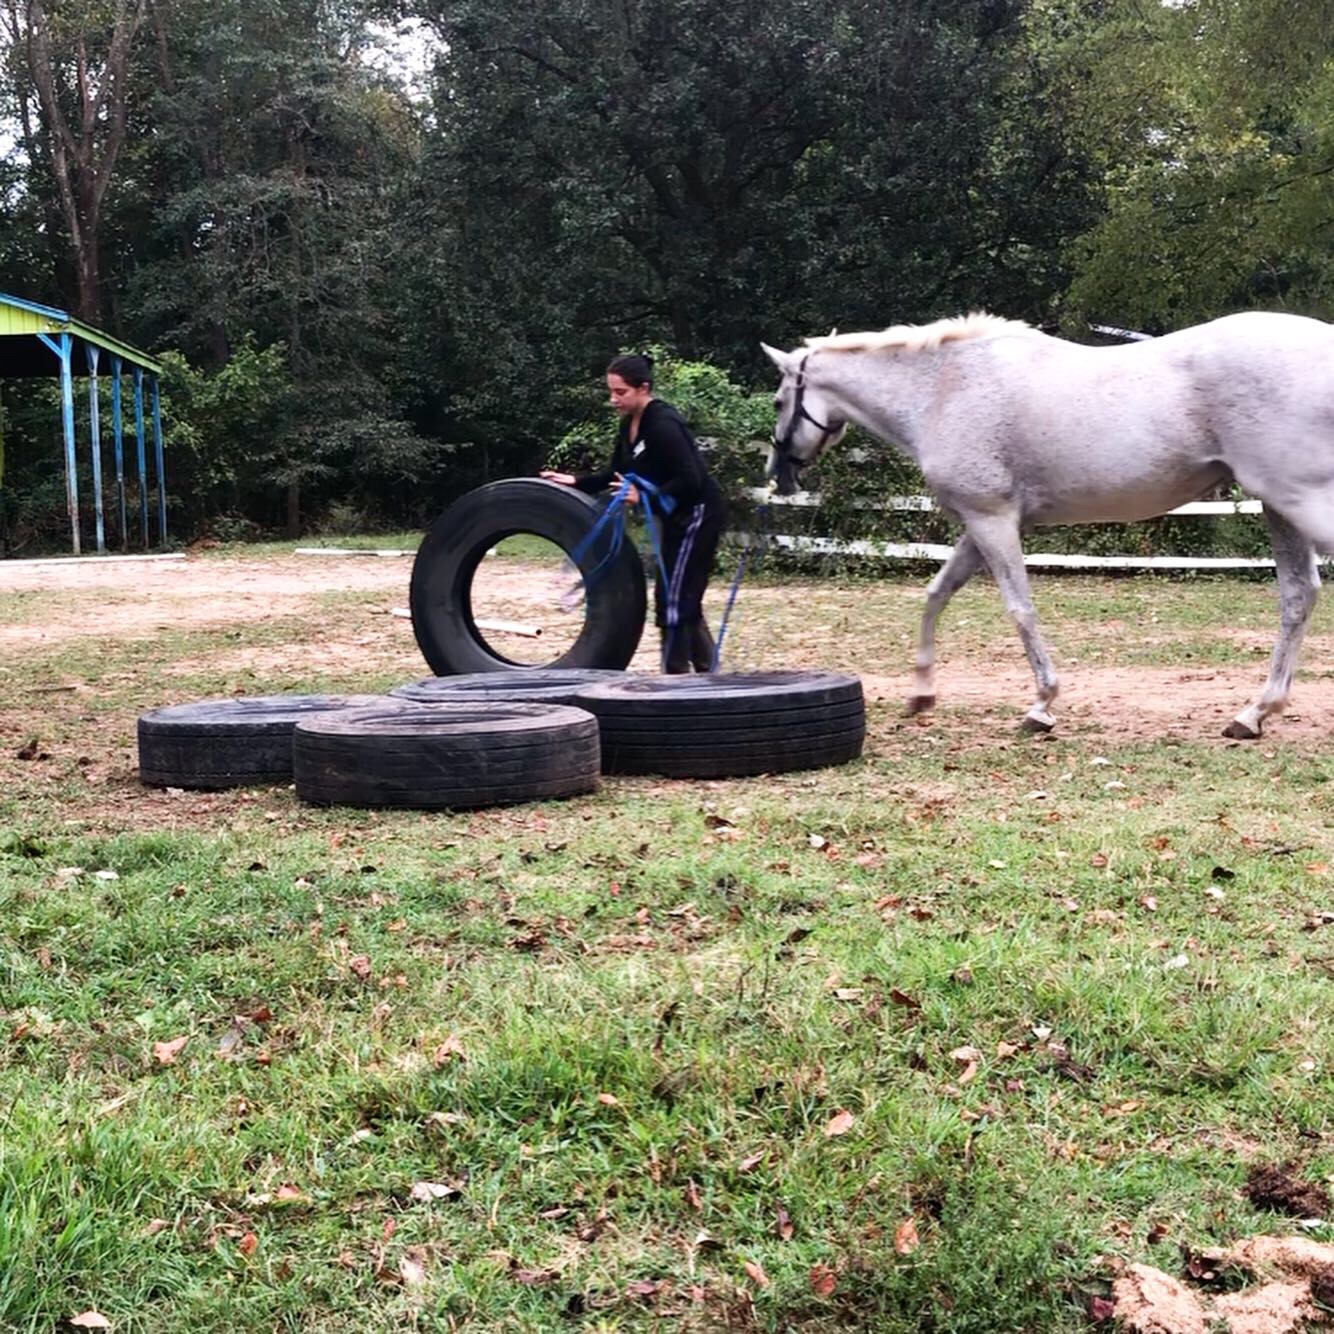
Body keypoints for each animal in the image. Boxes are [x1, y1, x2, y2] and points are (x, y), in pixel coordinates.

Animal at [763, 312, 1334, 741]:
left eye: (778, 401)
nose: (777, 474)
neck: (943, 388)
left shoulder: (992, 520)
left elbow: (1020, 609)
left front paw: (1041, 705)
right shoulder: (980, 525)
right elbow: (936, 594)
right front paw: (922, 692)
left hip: (1299, 500)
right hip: (1278, 505)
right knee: (1298, 595)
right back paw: (1253, 714)